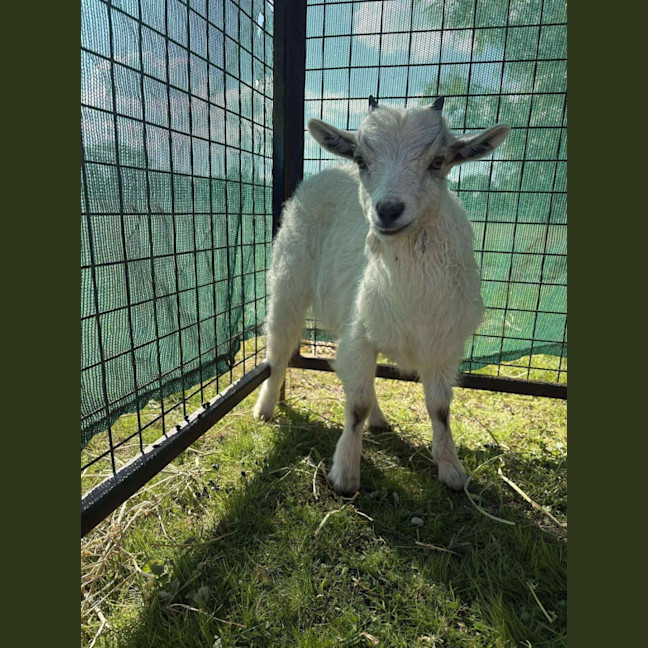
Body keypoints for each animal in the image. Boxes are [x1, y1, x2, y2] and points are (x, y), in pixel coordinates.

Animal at [253, 96, 510, 495]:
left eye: (438, 162)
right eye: (362, 159)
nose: (388, 210)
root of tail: (330, 169)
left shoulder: (442, 345)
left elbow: (440, 408)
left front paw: (452, 470)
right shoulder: (360, 333)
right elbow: (355, 405)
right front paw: (345, 474)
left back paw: (378, 419)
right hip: (289, 280)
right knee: (279, 348)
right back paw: (265, 409)